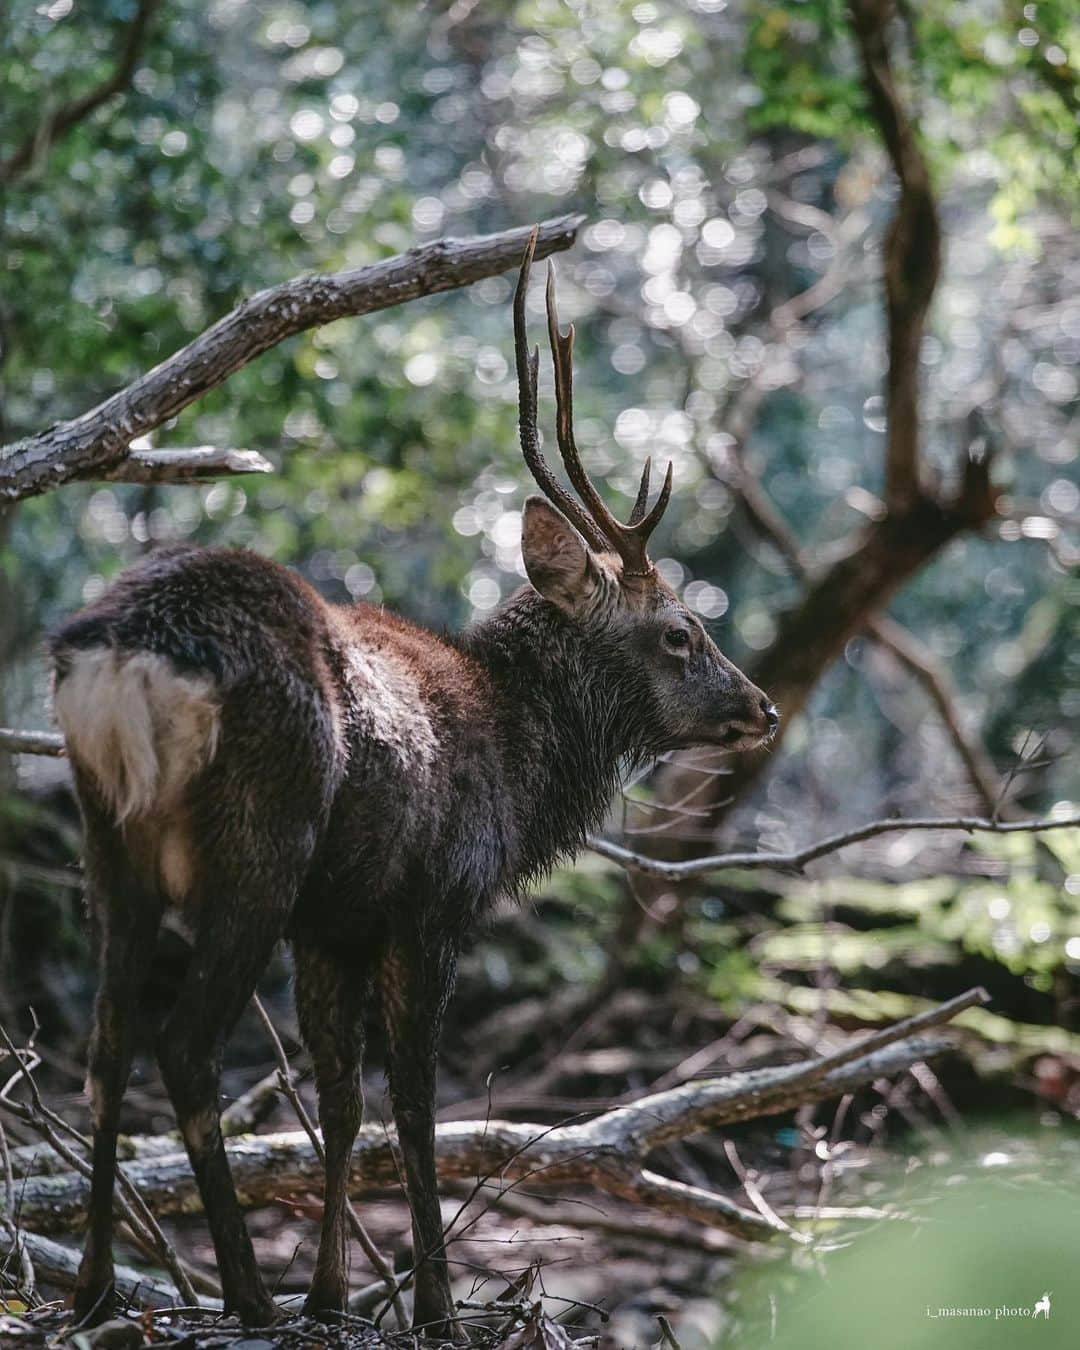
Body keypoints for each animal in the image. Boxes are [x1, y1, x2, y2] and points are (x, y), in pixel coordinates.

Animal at [50, 226, 777, 1333]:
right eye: (680, 634)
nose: (763, 707)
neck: (519, 775)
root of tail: (129, 651)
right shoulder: (433, 900)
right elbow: (418, 1104)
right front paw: (429, 1304)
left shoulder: (335, 924)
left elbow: (344, 1104)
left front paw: (330, 1294)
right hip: (261, 838)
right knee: (182, 1045)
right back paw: (245, 1298)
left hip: (107, 837)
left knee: (104, 1048)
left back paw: (95, 1288)